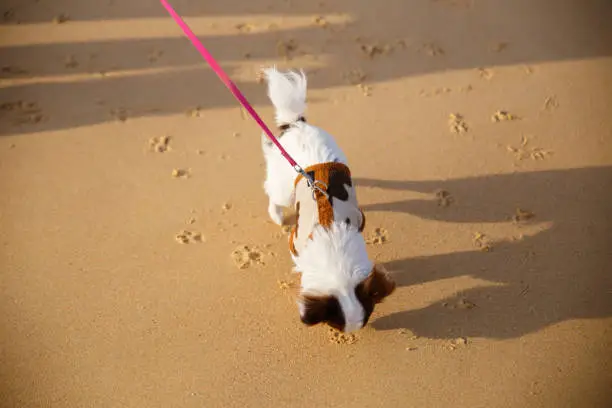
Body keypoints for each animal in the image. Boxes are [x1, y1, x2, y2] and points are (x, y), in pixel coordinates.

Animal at [260, 67, 394, 334]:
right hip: (283, 188)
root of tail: (296, 124)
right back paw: (276, 215)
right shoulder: (295, 243)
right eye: (334, 326)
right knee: (273, 194)